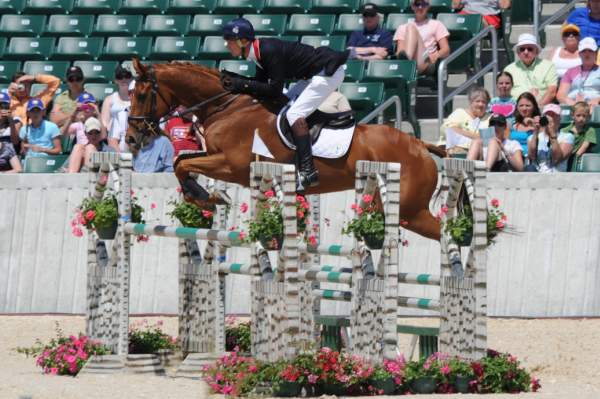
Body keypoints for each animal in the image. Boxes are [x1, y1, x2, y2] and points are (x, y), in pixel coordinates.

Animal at [126, 58, 446, 241]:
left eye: (140, 95)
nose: (130, 138)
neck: (227, 107)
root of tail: (420, 145)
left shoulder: (232, 165)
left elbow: (182, 164)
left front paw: (209, 197)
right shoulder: (216, 156)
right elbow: (181, 162)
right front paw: (205, 198)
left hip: (409, 209)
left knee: (445, 233)